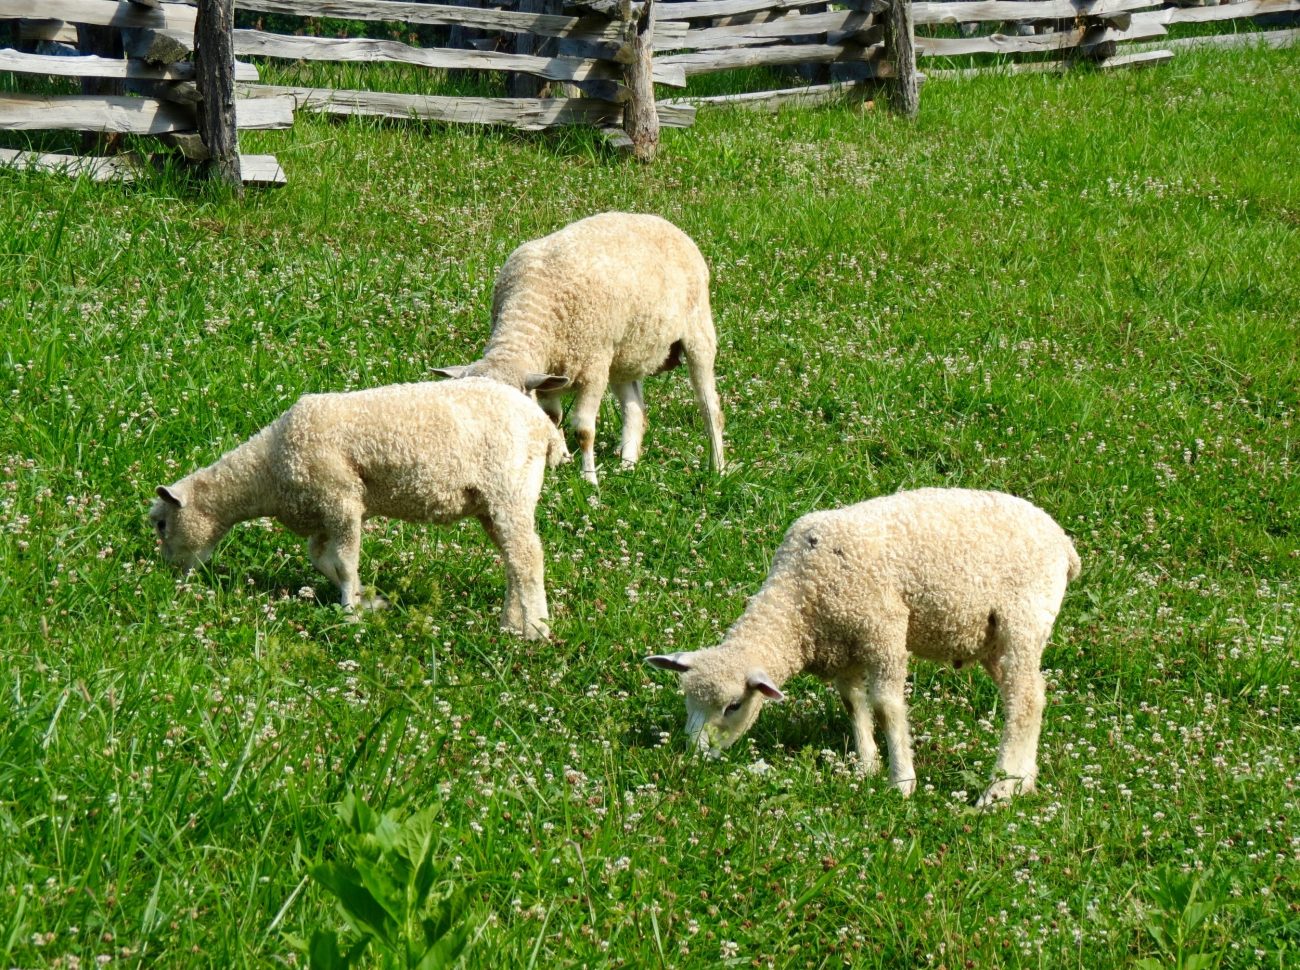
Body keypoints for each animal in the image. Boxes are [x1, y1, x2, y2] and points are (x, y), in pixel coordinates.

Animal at [148, 377, 568, 640]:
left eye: (160, 524)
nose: (169, 573)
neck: (267, 472)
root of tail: (544, 427)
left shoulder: (341, 499)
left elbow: (345, 561)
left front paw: (350, 611)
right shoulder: (322, 512)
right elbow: (323, 559)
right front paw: (369, 600)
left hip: (507, 488)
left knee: (527, 557)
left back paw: (534, 630)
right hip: (494, 503)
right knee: (514, 560)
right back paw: (513, 622)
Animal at [434, 211, 725, 486]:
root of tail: (662, 222)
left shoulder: (593, 370)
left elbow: (584, 431)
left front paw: (589, 479)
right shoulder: (549, 376)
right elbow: (552, 418)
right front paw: (557, 463)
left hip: (698, 333)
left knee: (709, 407)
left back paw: (718, 468)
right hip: (623, 357)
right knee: (634, 410)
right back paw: (628, 465)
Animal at [646, 488, 1081, 807]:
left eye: (733, 706)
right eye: (689, 702)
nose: (695, 757)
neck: (801, 597)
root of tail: (1063, 544)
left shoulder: (883, 630)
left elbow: (887, 707)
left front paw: (901, 780)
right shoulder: (844, 647)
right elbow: (853, 704)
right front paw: (867, 766)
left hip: (1022, 621)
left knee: (1024, 702)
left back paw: (998, 790)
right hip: (994, 641)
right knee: (1031, 697)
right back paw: (1022, 781)